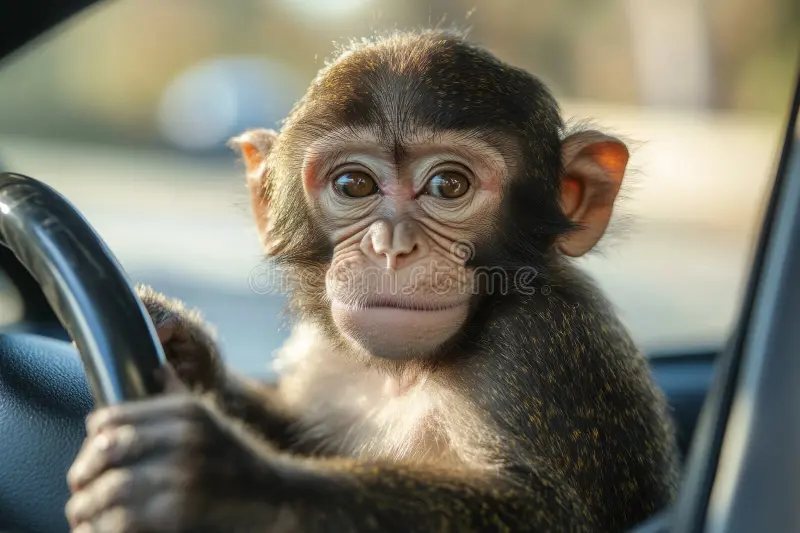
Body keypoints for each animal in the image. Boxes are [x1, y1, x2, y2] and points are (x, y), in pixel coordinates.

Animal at [65, 31, 679, 532]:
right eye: (354, 184)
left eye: (448, 185)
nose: (392, 245)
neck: (405, 374)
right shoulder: (321, 355)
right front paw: (181, 347)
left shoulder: (545, 347)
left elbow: (542, 511)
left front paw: (230, 485)